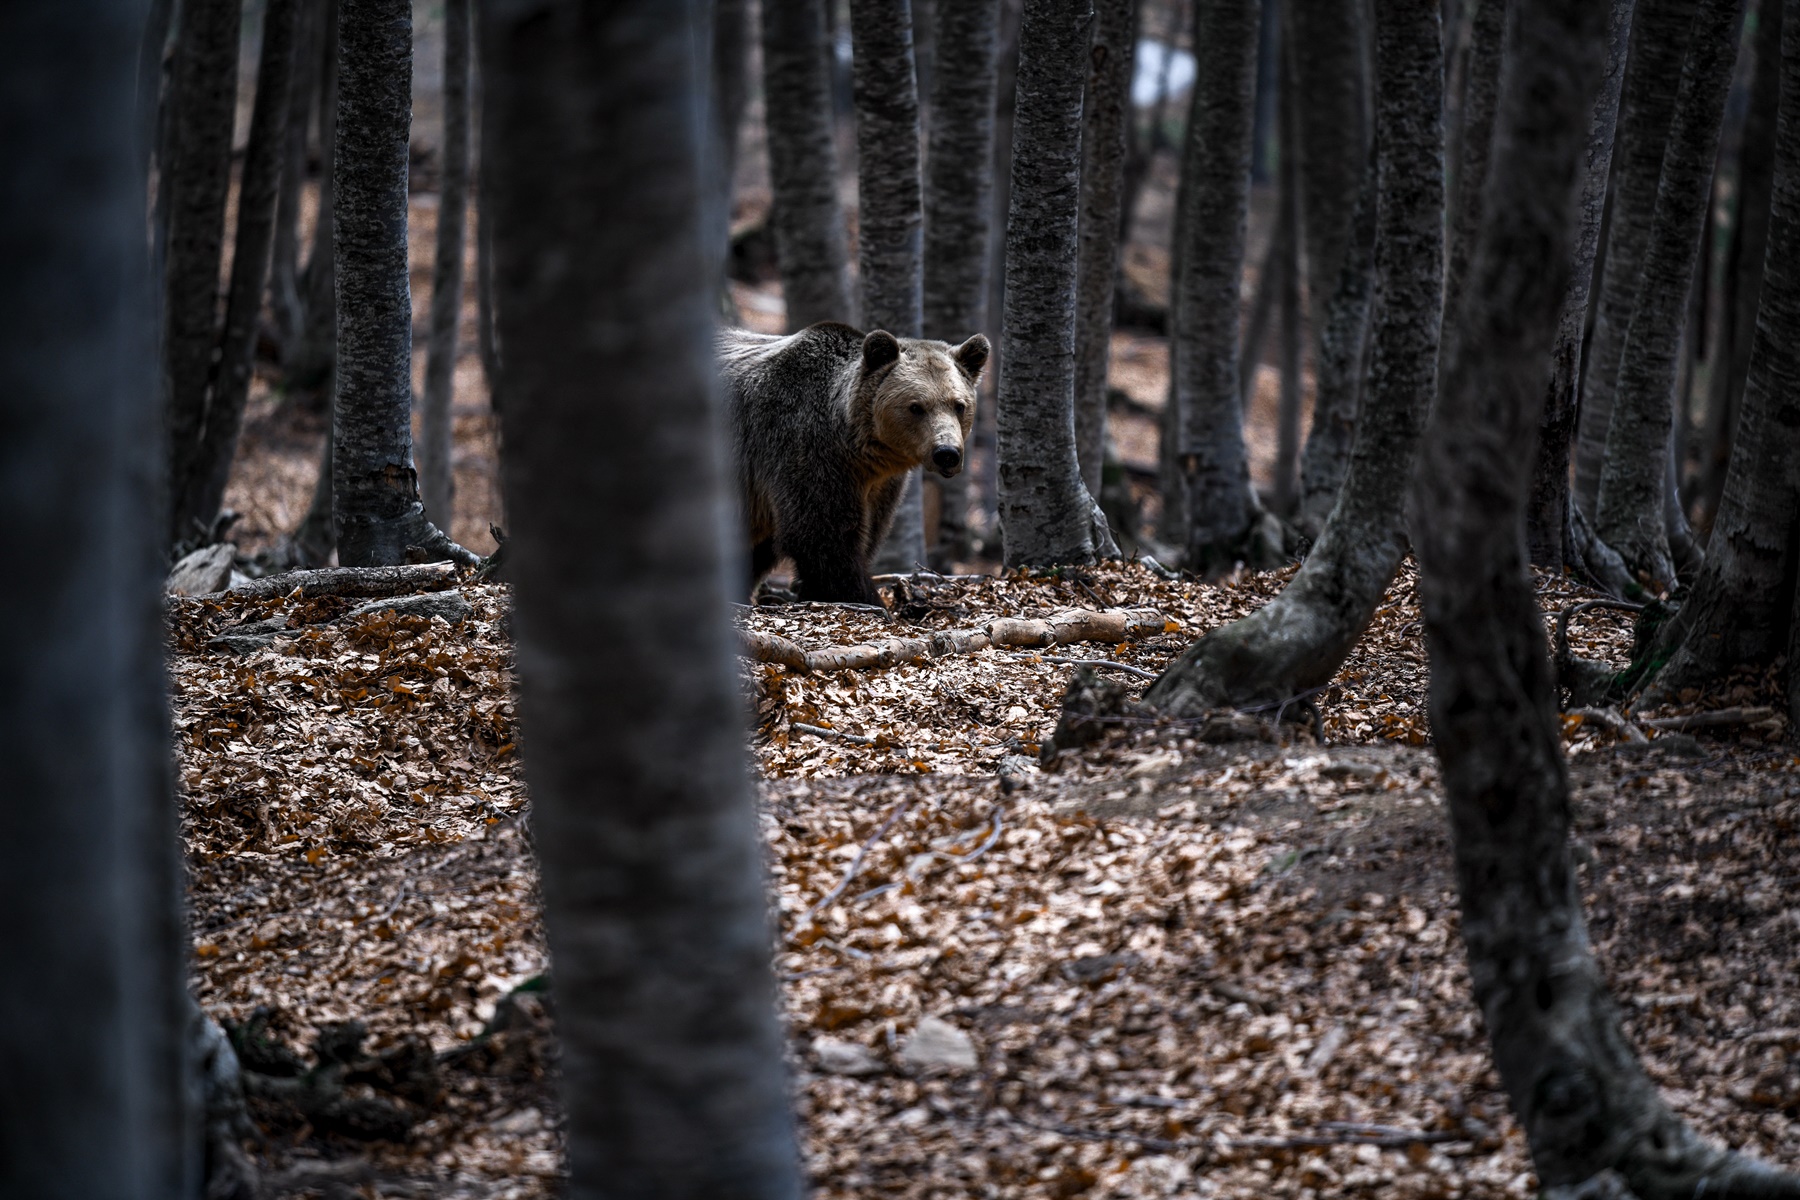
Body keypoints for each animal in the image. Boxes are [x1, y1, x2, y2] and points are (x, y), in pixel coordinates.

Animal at [716, 318, 993, 604]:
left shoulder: (880, 485)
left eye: (959, 405)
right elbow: (825, 539)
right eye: (916, 407)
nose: (947, 453)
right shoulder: (806, 453)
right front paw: (867, 599)